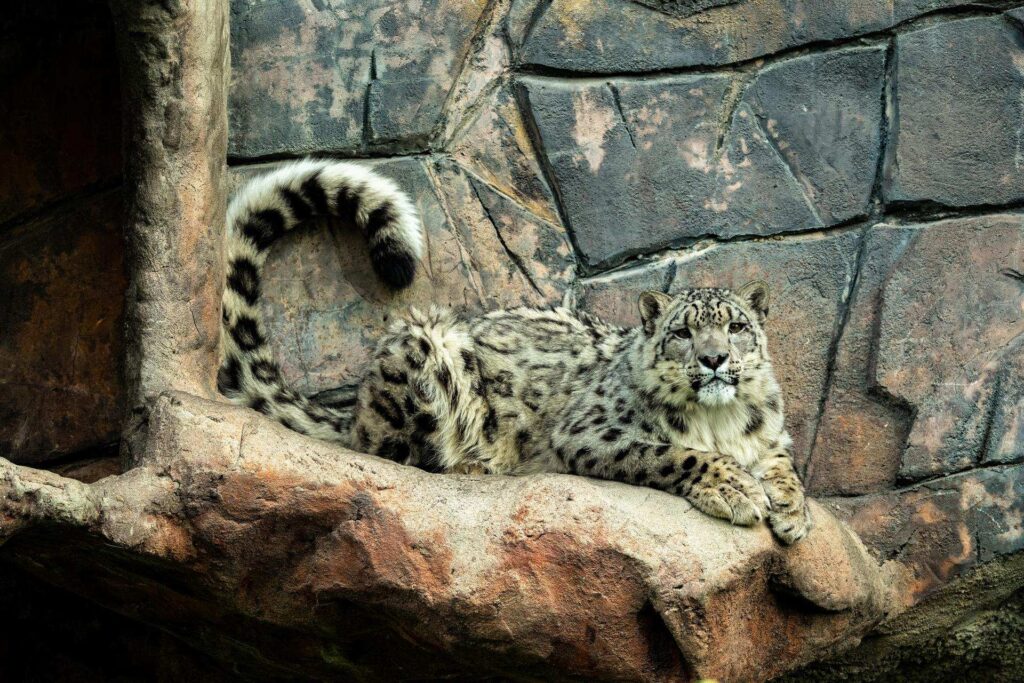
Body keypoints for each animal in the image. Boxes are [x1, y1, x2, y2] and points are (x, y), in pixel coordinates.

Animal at [220, 158, 811, 544]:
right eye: (683, 333)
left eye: (737, 326)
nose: (714, 359)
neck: (721, 420)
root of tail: (358, 406)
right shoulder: (592, 432)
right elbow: (675, 453)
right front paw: (737, 490)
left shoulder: (771, 437)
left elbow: (785, 465)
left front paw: (791, 510)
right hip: (425, 350)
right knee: (390, 453)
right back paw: (475, 464)